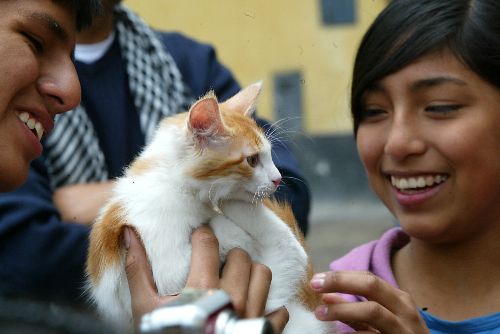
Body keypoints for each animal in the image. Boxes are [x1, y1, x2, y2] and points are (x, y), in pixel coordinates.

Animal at [86, 81, 332, 334]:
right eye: (252, 160)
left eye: (269, 155)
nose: (278, 178)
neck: (175, 184)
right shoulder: (168, 269)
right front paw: (230, 225)